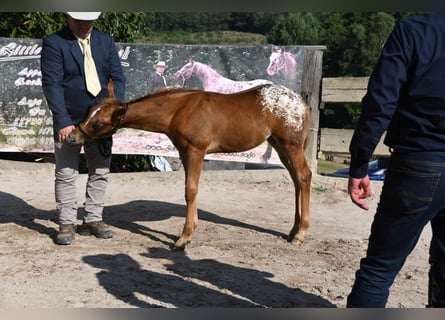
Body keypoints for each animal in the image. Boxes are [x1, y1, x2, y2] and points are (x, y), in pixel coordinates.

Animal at [67, 82, 312, 250]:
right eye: (88, 113)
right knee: (295, 180)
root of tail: (300, 101)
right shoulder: (185, 152)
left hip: (291, 145)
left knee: (304, 176)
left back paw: (301, 234)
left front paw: (183, 238)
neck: (179, 110)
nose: (72, 137)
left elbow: (190, 190)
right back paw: (292, 231)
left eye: (99, 122)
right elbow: (189, 190)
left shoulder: (196, 151)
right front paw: (190, 231)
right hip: (279, 145)